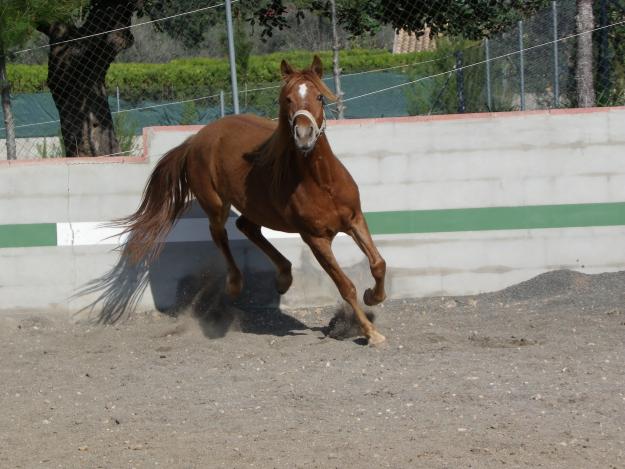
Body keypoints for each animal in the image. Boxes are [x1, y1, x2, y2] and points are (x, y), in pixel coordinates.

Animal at [118, 57, 386, 344]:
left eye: (319, 97)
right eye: (288, 99)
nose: (304, 136)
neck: (323, 183)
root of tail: (195, 139)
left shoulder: (355, 220)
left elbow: (378, 264)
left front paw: (374, 296)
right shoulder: (315, 239)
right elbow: (345, 286)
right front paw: (371, 332)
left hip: (256, 207)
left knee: (246, 227)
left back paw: (284, 276)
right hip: (216, 204)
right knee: (220, 234)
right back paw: (236, 283)